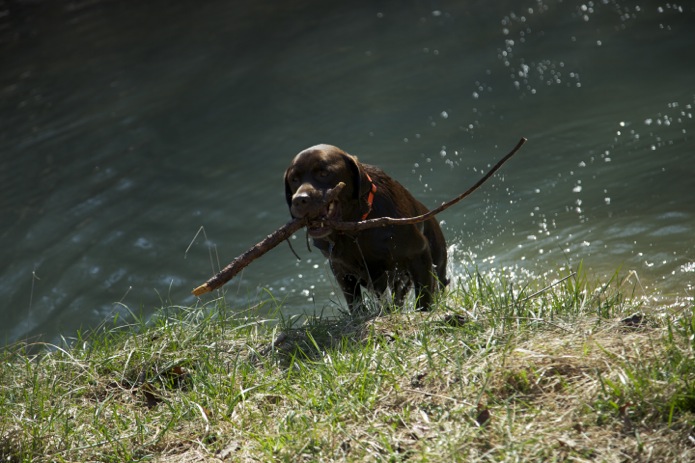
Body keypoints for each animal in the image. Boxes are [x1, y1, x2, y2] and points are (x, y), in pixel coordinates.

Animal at [286, 144, 448, 312]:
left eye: (324, 173)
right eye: (294, 179)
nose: (299, 200)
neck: (355, 227)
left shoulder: (419, 252)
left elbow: (424, 296)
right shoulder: (340, 270)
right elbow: (355, 303)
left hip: (437, 260)